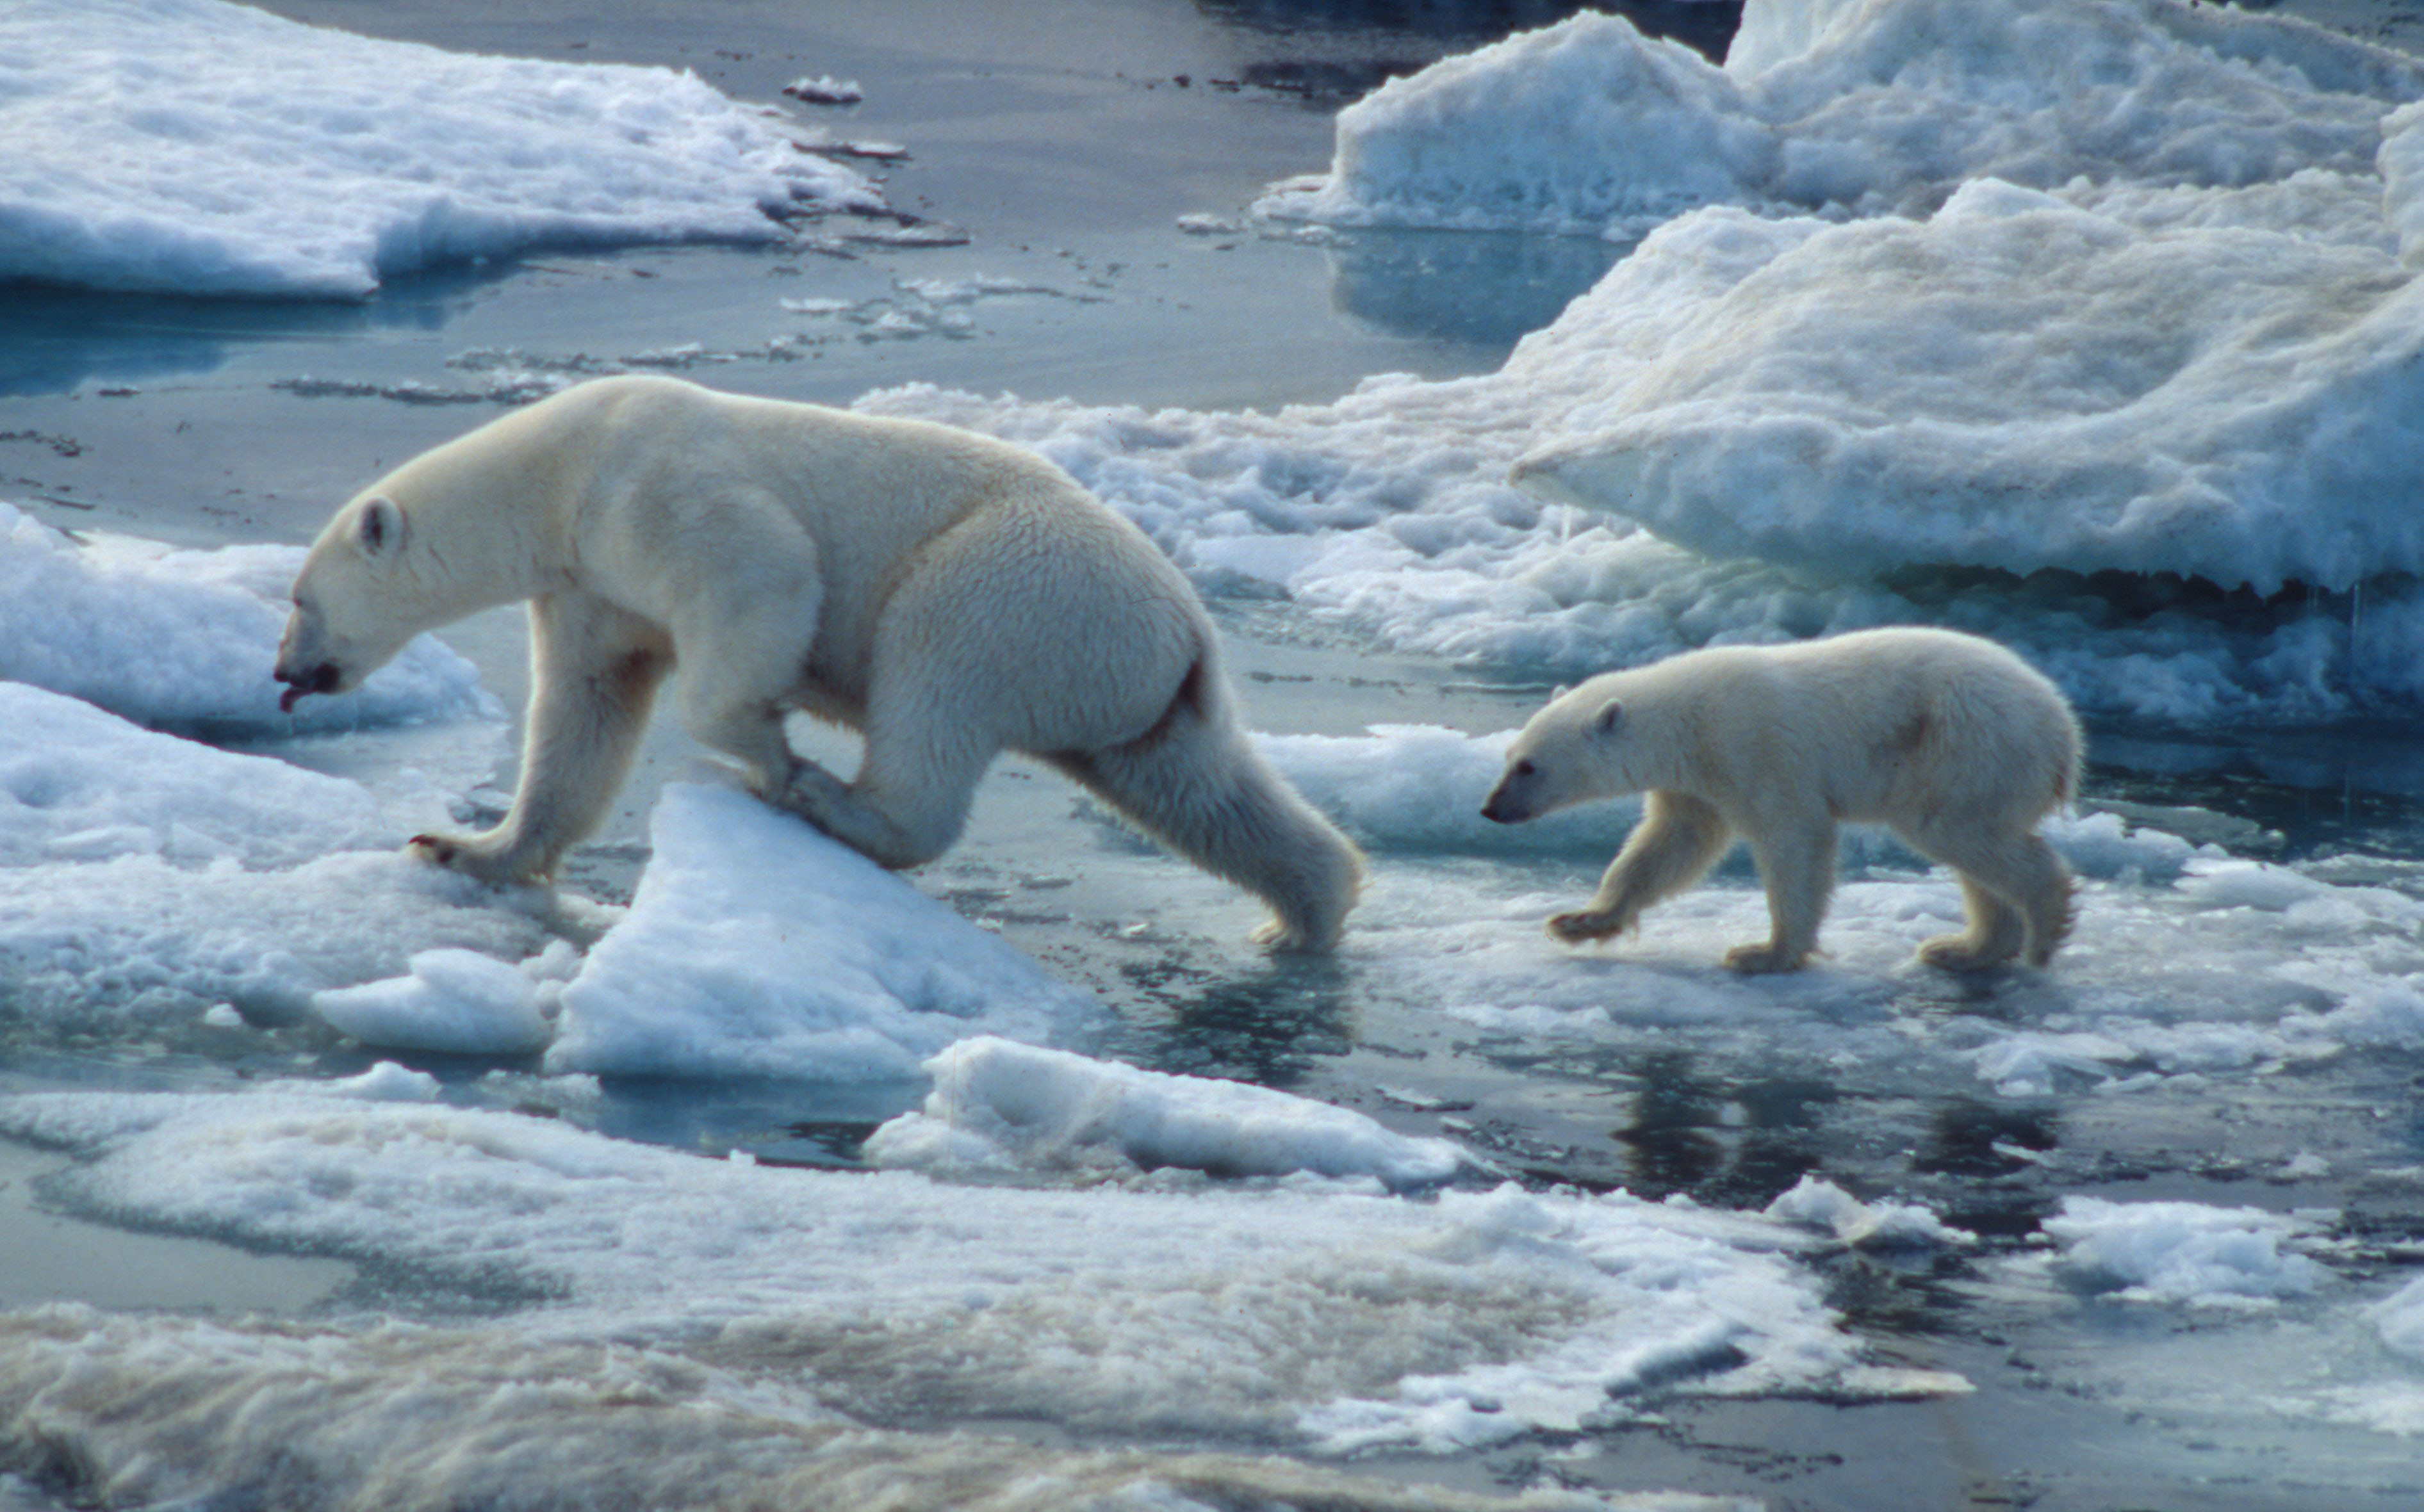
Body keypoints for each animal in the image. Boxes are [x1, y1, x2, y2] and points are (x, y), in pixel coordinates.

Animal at [275, 373, 1367, 950]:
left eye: (298, 600)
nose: (284, 672)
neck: (561, 473)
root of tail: (1188, 628)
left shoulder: (660, 500)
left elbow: (764, 577)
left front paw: (772, 753)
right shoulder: (590, 585)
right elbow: (583, 713)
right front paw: (462, 846)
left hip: (1014, 587)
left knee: (932, 676)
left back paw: (834, 803)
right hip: (1129, 689)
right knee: (1198, 791)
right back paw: (1305, 913)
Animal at [1473, 630, 2084, 974]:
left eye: (1529, 766)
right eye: (1510, 756)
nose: (1490, 809)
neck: (1689, 719)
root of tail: (2064, 731)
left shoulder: (1755, 749)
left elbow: (1795, 840)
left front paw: (1763, 954)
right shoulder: (1697, 784)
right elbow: (1668, 847)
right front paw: (1578, 921)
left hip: (1966, 747)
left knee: (1961, 833)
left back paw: (2043, 932)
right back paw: (1963, 948)